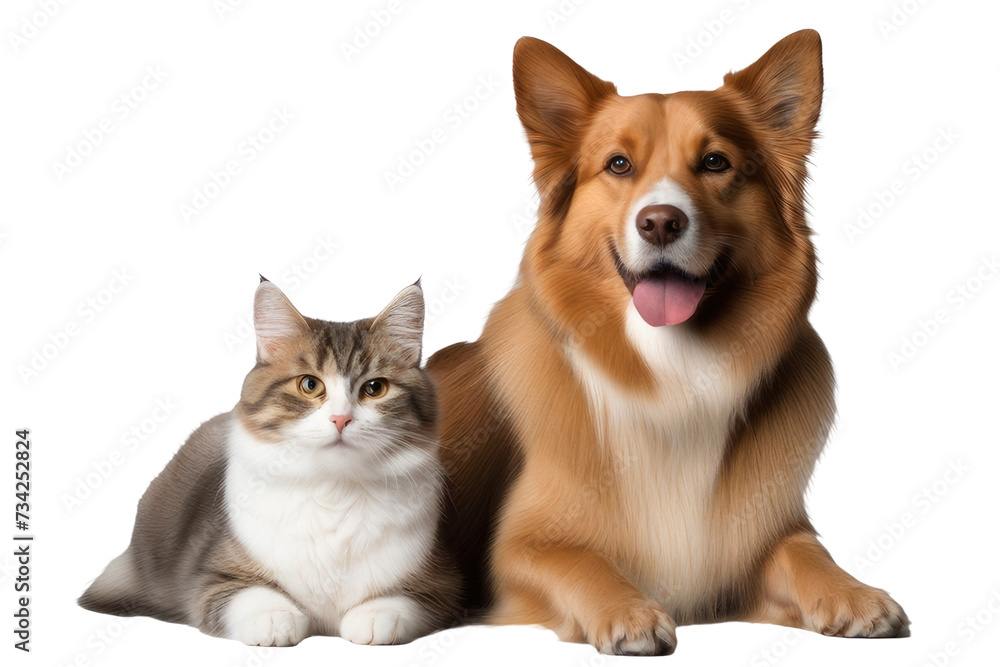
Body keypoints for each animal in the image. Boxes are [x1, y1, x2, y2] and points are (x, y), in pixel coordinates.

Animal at [79, 278, 460, 648]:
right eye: (310, 385)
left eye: (375, 388)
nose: (340, 419)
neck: (334, 489)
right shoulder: (212, 578)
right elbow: (252, 596)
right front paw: (275, 620)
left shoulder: (440, 582)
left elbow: (398, 602)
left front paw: (375, 616)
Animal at [426, 28, 912, 656]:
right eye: (618, 164)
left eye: (715, 162)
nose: (660, 221)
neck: (674, 364)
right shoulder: (519, 549)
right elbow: (582, 562)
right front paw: (628, 611)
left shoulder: (759, 536)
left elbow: (808, 551)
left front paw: (853, 593)